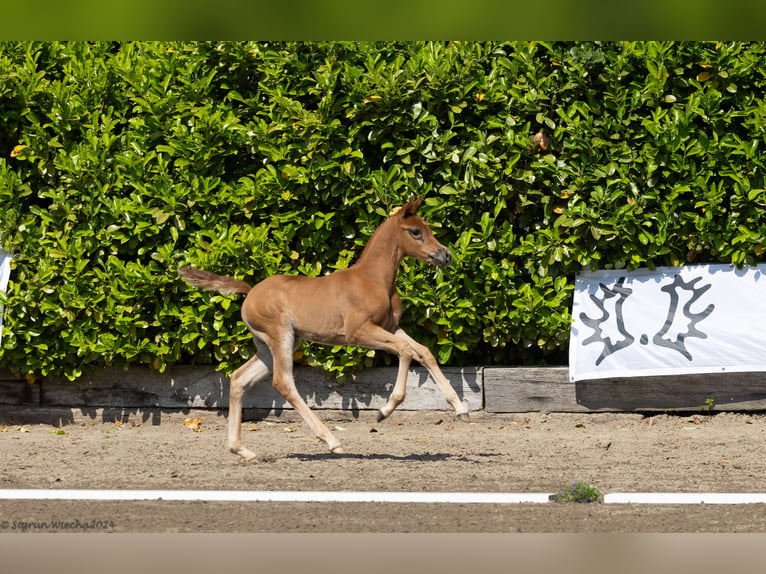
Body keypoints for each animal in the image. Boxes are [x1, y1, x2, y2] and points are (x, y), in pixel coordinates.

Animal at [180, 198, 468, 464]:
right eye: (416, 231)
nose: (445, 255)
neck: (373, 280)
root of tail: (250, 292)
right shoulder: (358, 332)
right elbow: (406, 351)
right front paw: (384, 411)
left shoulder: (391, 327)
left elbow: (424, 352)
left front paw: (460, 409)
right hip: (280, 336)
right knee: (283, 382)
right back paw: (332, 441)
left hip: (272, 345)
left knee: (240, 379)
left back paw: (244, 451)